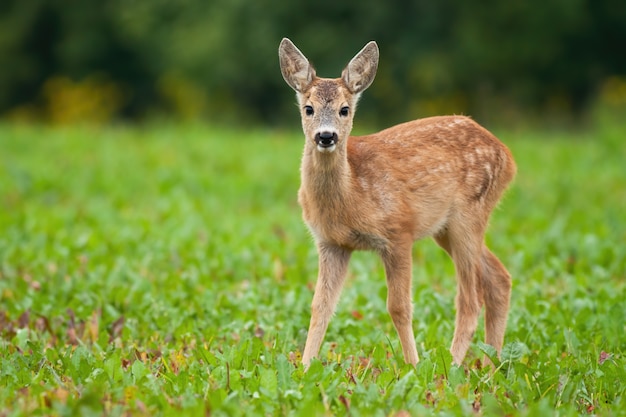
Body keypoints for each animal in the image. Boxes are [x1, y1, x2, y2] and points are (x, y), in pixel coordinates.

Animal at [276, 37, 512, 366]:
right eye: (308, 108)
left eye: (345, 109)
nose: (326, 136)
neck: (352, 194)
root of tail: (507, 156)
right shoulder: (331, 243)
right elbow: (320, 306)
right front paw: (306, 366)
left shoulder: (399, 231)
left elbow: (398, 307)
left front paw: (413, 365)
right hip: (446, 228)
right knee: (499, 279)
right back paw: (490, 366)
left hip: (470, 213)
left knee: (470, 298)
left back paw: (451, 365)